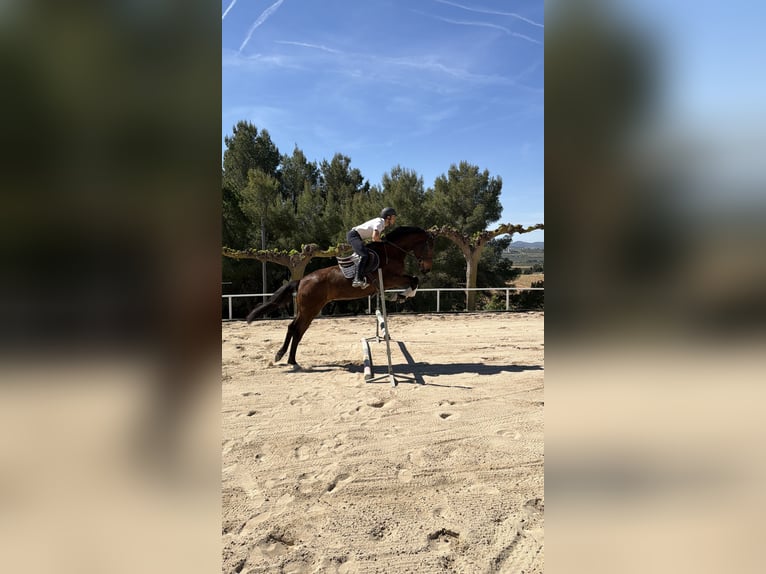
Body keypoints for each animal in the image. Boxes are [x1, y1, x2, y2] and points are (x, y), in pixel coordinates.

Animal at [246, 226, 434, 366]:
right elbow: (414, 280)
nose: (427, 268)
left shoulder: (392, 279)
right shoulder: (390, 279)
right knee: (296, 328)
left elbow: (414, 280)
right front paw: (401, 296)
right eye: (429, 247)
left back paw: (290, 359)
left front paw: (401, 296)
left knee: (295, 329)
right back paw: (284, 356)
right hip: (310, 309)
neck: (392, 251)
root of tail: (302, 281)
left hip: (307, 309)